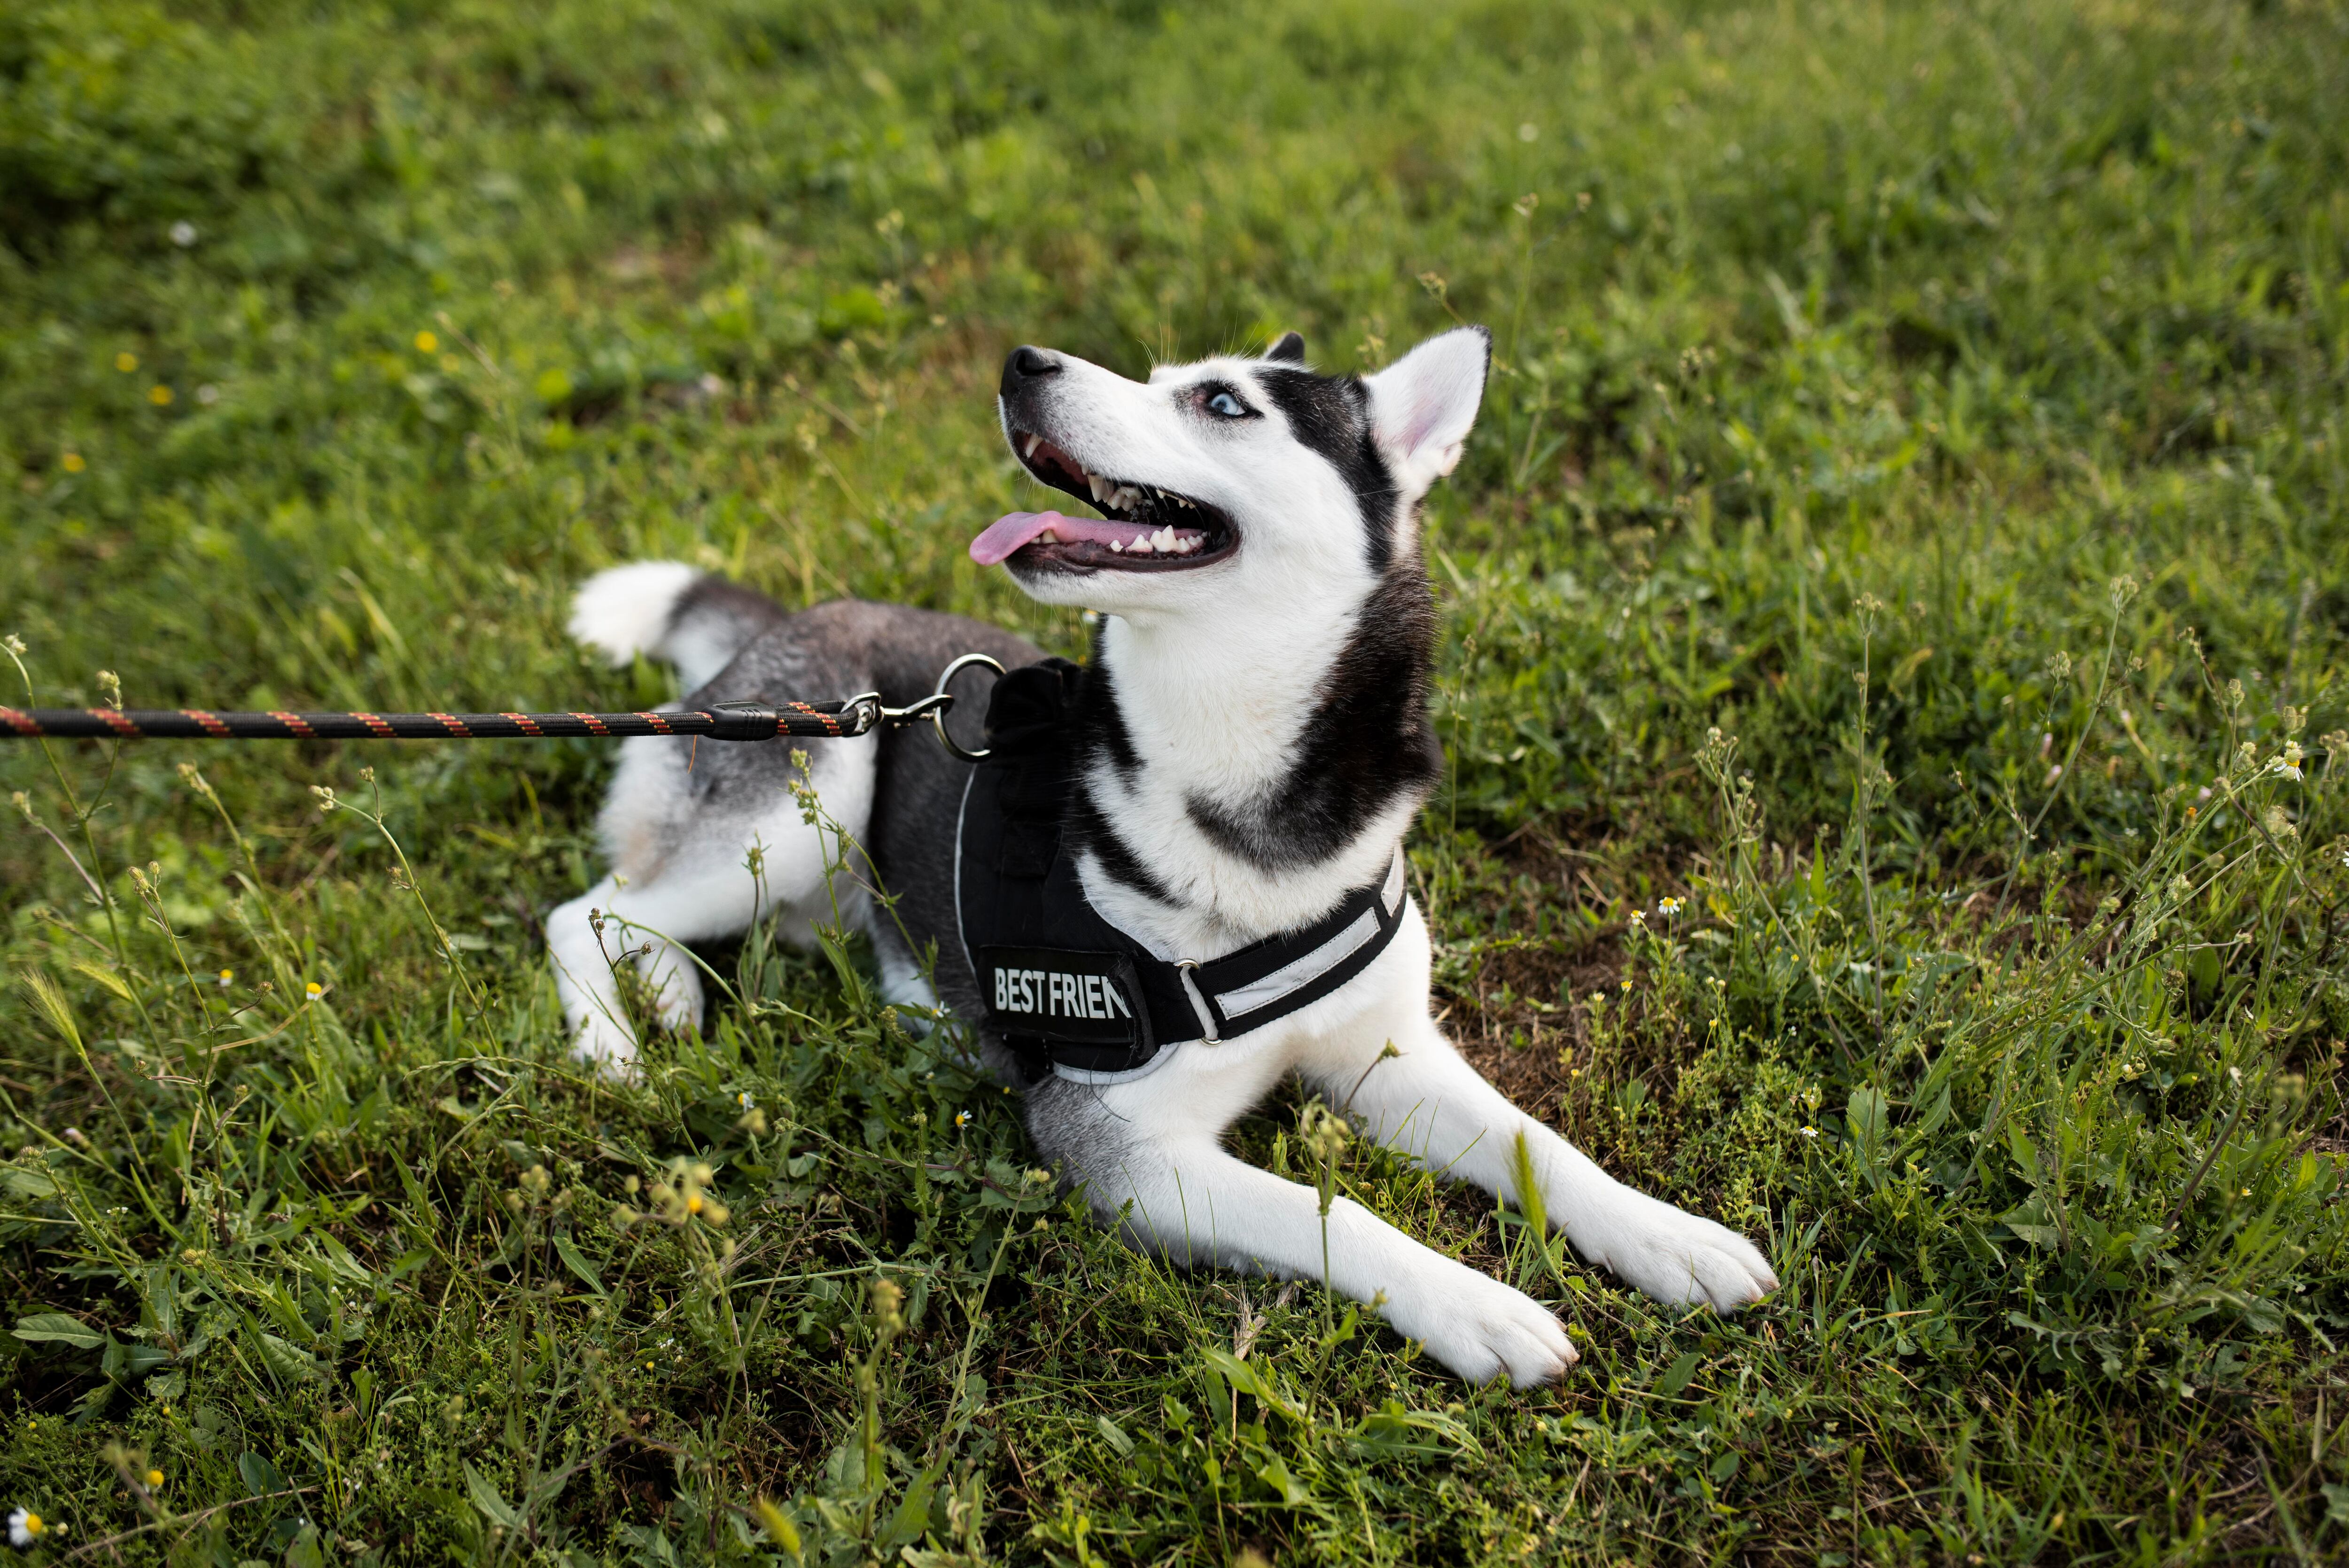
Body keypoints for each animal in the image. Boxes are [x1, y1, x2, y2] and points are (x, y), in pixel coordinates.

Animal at [550, 324, 1776, 1380]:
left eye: (1222, 402)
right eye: (1160, 376)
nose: (1023, 360)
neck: (1240, 789)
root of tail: (789, 621)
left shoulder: (1390, 1058)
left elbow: (1541, 1145)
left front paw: (1670, 1236)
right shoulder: (1120, 1142)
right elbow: (1333, 1209)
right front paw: (1477, 1303)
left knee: (644, 913)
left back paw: (670, 999)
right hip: (813, 786)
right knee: (586, 909)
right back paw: (615, 1048)